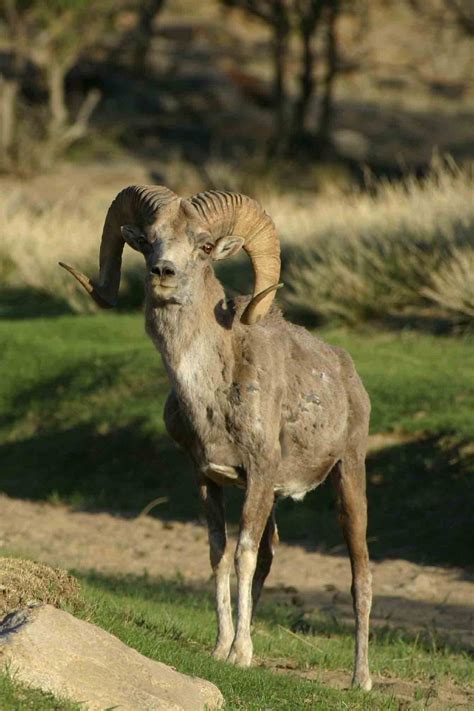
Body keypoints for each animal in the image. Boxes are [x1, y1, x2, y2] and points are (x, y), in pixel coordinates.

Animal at [60, 185, 370, 688]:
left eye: (204, 246)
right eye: (148, 241)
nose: (163, 273)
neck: (212, 392)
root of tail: (347, 372)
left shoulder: (260, 475)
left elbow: (243, 556)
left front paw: (241, 654)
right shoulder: (209, 477)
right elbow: (220, 554)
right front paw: (222, 649)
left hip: (349, 478)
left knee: (359, 572)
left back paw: (360, 680)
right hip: (275, 497)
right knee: (269, 555)